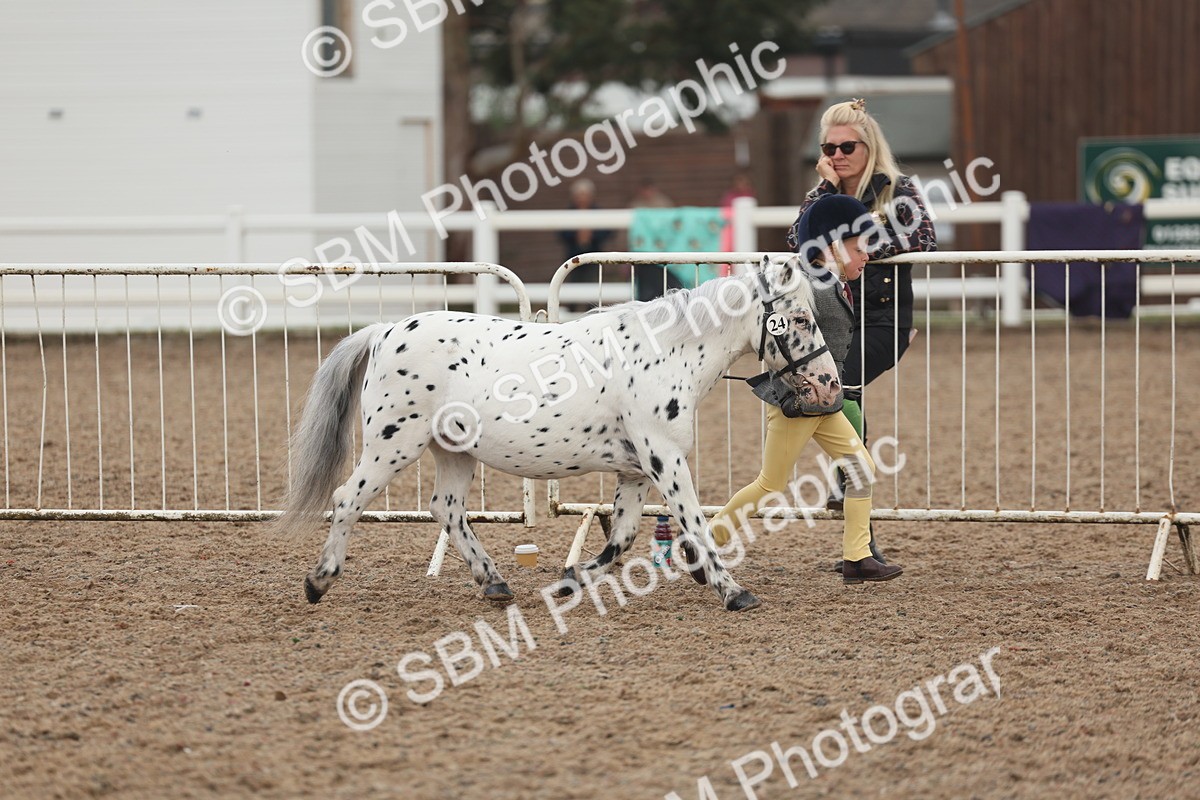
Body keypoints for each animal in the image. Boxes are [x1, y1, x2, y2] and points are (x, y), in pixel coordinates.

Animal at [279, 256, 843, 612]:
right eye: (798, 319)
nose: (830, 385)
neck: (663, 352)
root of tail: (384, 333)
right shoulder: (663, 457)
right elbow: (695, 524)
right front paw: (732, 592)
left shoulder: (635, 470)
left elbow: (622, 537)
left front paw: (573, 580)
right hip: (393, 445)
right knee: (347, 499)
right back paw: (317, 581)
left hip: (453, 450)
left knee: (446, 509)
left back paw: (495, 583)